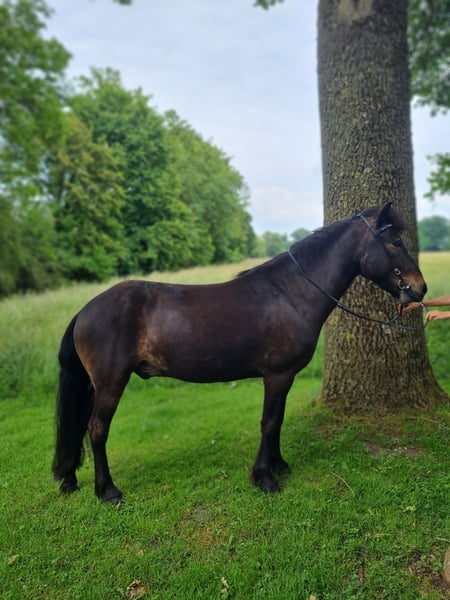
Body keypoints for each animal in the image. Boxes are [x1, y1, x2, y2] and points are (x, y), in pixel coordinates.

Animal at [53, 203, 426, 502]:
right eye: (395, 242)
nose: (419, 289)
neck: (290, 293)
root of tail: (85, 310)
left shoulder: (284, 378)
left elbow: (277, 421)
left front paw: (278, 465)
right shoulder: (277, 375)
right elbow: (269, 421)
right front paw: (264, 477)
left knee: (79, 426)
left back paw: (70, 479)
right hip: (111, 381)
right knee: (97, 428)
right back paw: (107, 491)